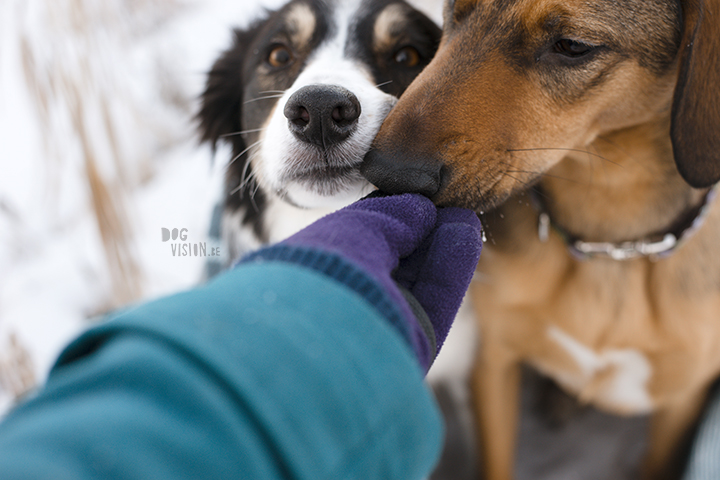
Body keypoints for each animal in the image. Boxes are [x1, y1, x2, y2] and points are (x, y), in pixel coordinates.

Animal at [362, 0, 720, 480]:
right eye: (454, 11)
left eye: (572, 46)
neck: (608, 246)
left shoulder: (680, 402)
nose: (385, 173)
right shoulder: (493, 359)